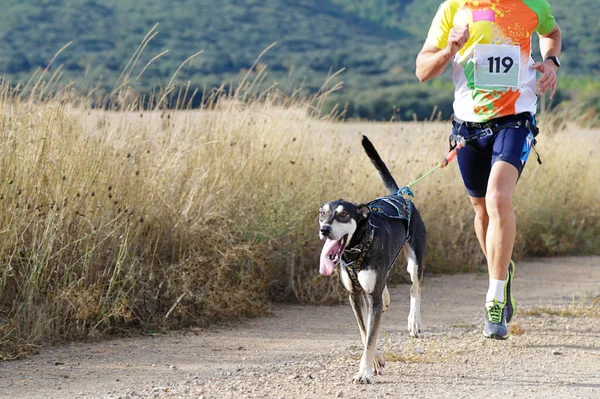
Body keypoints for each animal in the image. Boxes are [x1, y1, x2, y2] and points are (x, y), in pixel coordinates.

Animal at [318, 137, 426, 384]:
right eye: (322, 213)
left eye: (344, 214)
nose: (324, 229)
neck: (357, 248)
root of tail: (399, 195)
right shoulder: (355, 295)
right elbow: (365, 331)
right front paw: (374, 363)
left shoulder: (369, 296)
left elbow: (370, 336)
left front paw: (363, 372)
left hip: (415, 260)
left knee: (415, 287)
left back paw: (414, 322)